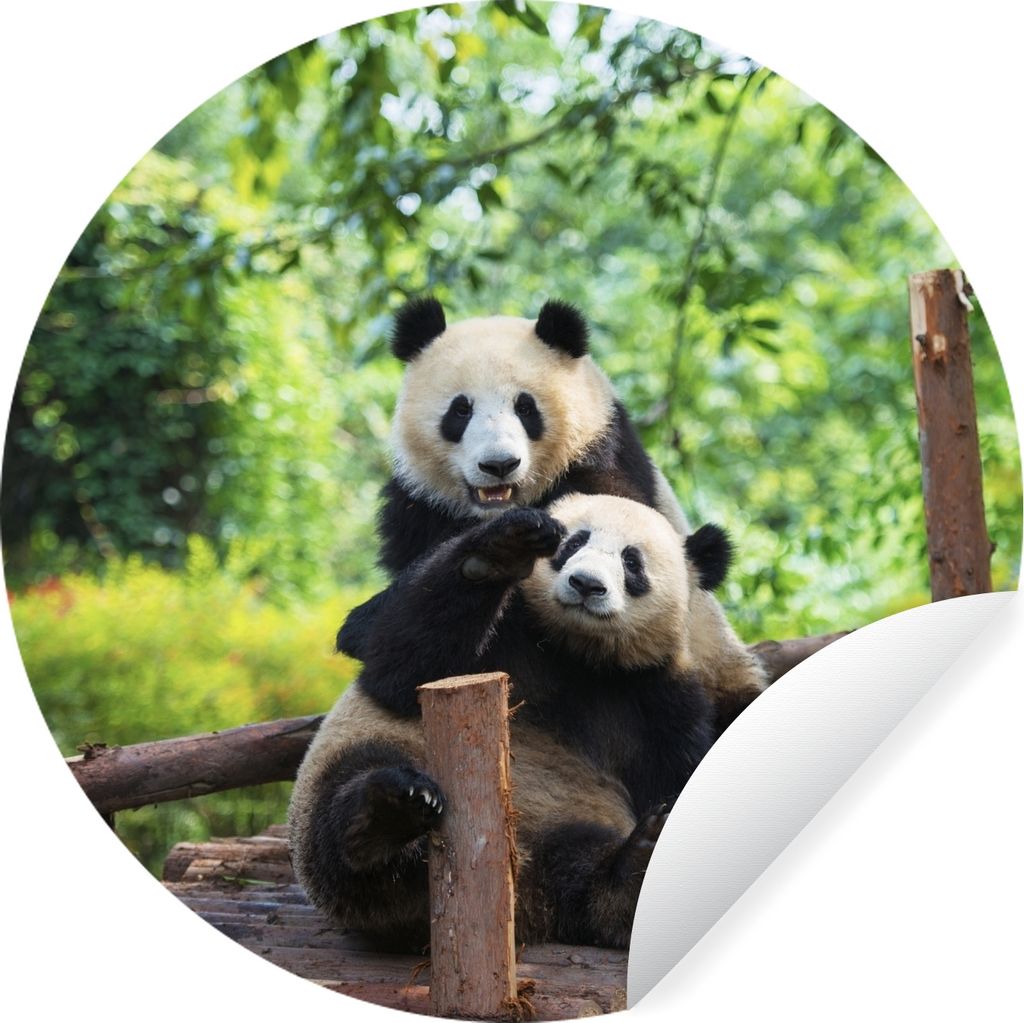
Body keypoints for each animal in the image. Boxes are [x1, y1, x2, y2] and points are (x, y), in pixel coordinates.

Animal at [290, 493, 727, 950]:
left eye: (631, 562)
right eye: (573, 543)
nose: (585, 584)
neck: (577, 653)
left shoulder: (656, 696)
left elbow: (676, 771)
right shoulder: (507, 634)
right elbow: (399, 666)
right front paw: (500, 551)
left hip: (567, 825)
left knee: (581, 876)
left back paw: (632, 871)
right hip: (368, 758)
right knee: (345, 803)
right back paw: (387, 816)